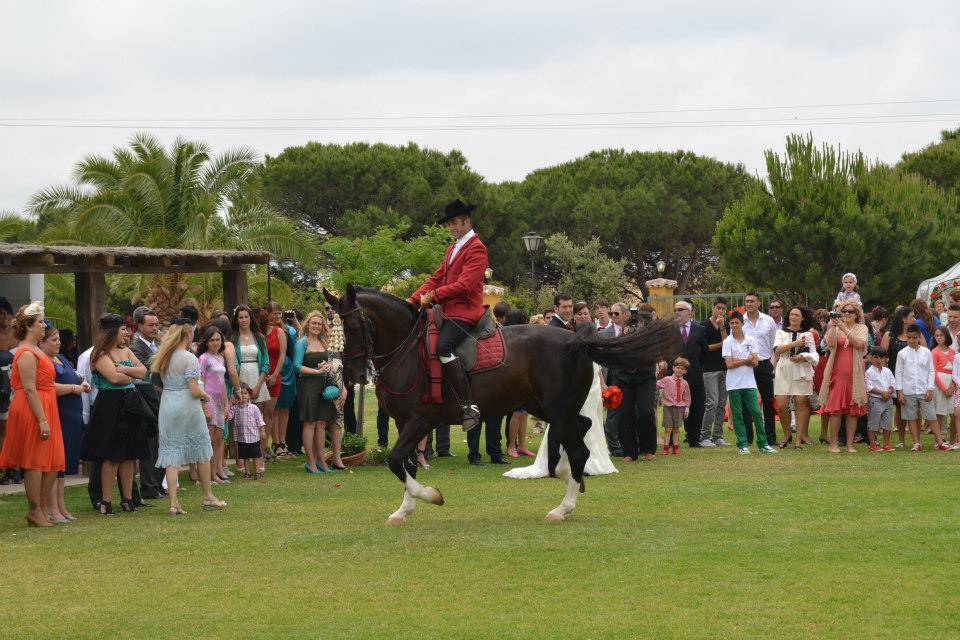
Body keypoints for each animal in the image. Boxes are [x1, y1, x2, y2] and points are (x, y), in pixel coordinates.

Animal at [326, 286, 680, 524]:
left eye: (355, 326)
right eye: (335, 329)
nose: (355, 374)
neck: (407, 350)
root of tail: (576, 340)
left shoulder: (419, 421)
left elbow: (396, 460)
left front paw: (430, 496)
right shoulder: (403, 423)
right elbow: (407, 463)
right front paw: (404, 510)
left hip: (558, 409)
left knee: (580, 448)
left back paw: (562, 507)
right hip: (546, 408)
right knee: (584, 429)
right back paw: (566, 474)